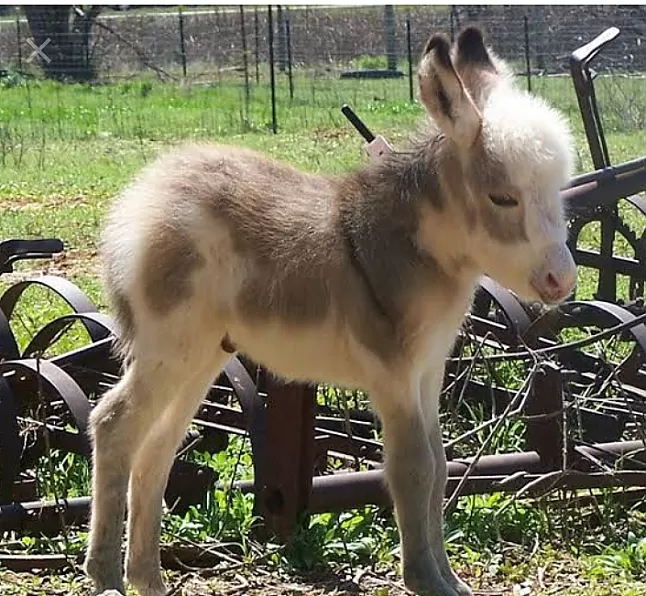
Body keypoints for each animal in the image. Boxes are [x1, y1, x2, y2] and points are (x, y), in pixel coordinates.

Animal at [85, 26, 576, 596]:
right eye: (502, 198)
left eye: (557, 190)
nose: (562, 282)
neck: (414, 248)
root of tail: (141, 199)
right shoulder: (392, 376)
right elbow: (414, 468)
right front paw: (424, 580)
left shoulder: (427, 372)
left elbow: (439, 466)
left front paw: (450, 580)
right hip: (171, 347)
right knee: (113, 424)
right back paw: (104, 574)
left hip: (201, 355)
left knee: (155, 448)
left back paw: (147, 578)